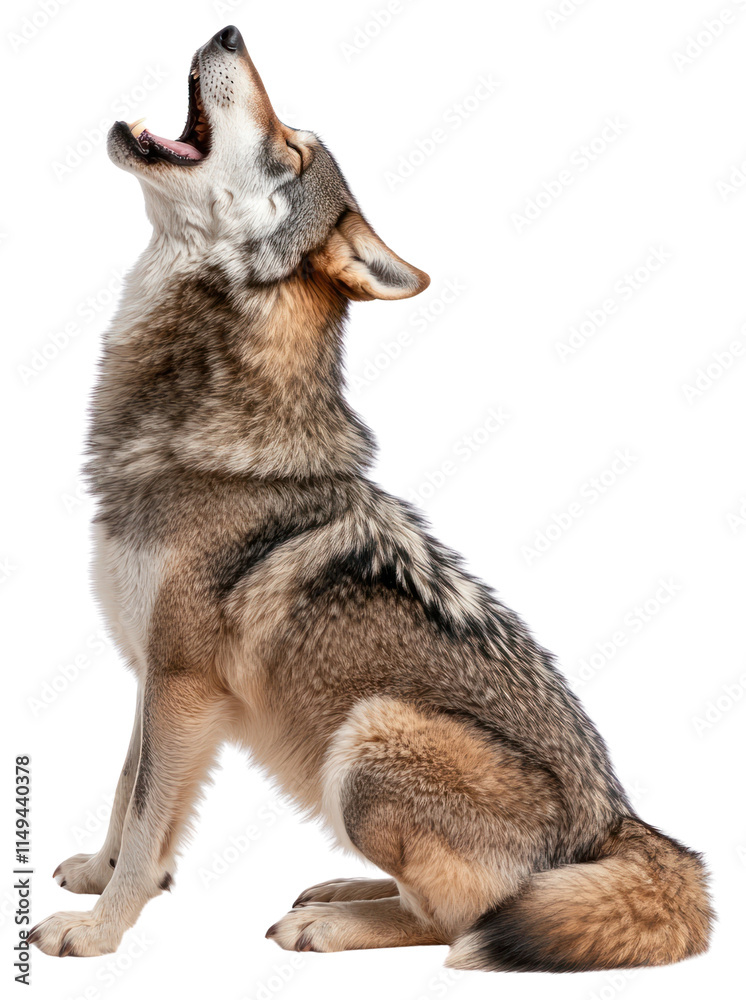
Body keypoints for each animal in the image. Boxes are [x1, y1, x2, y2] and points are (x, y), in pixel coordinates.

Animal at [29, 26, 712, 970]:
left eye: (291, 151)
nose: (228, 31)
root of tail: (619, 821)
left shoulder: (184, 683)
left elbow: (144, 819)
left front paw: (98, 932)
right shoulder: (151, 673)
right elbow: (129, 797)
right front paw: (98, 880)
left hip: (370, 734)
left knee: (463, 922)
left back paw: (330, 922)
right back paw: (338, 889)